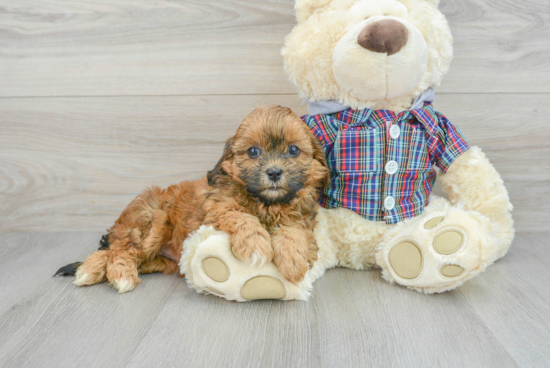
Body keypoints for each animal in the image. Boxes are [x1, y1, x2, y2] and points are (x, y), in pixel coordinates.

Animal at [57, 105, 328, 294]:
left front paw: (293, 262)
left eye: (293, 150)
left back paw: (90, 269)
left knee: (121, 252)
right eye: (253, 151)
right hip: (152, 221)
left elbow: (293, 231)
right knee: (120, 249)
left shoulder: (301, 219)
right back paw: (115, 274)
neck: (267, 203)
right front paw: (256, 246)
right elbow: (241, 216)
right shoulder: (217, 209)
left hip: (159, 257)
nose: (273, 172)